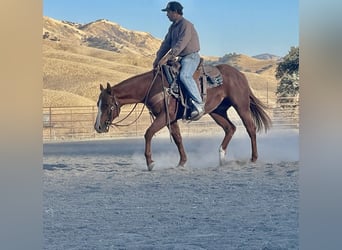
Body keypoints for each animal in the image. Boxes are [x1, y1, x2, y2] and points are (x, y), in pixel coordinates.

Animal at [93, 63, 270, 171]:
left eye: (107, 105)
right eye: (97, 103)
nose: (98, 127)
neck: (154, 86)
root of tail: (240, 75)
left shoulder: (165, 115)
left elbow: (148, 133)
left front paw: (150, 163)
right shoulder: (170, 119)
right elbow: (178, 138)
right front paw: (182, 162)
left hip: (241, 106)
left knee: (250, 128)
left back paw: (253, 158)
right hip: (217, 111)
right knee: (230, 128)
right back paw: (221, 157)